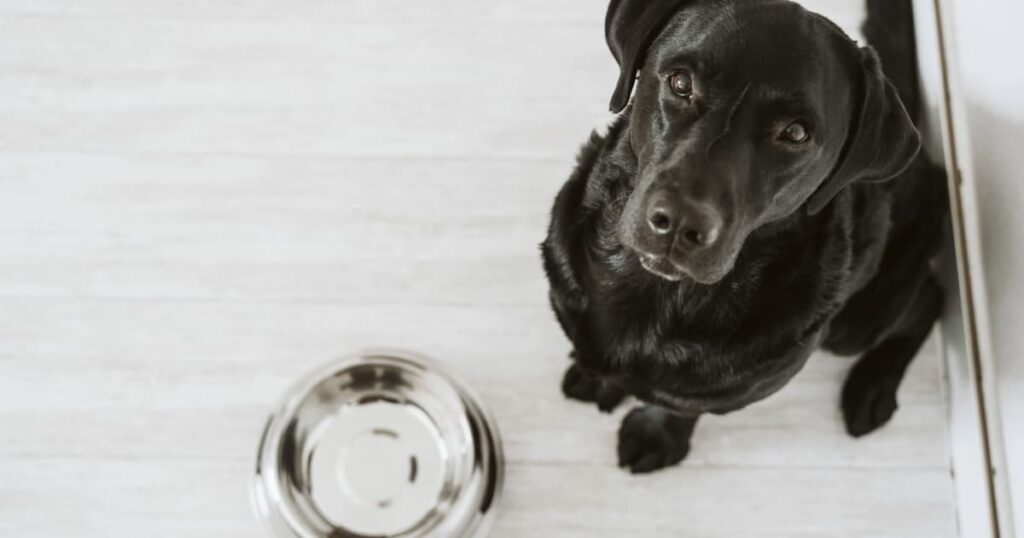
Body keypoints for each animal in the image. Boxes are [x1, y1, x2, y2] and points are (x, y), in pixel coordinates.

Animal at [540, 0, 946, 469]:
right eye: (681, 83)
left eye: (796, 132)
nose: (679, 223)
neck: (659, 295)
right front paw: (596, 378)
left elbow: (679, 406)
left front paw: (655, 435)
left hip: (856, 324)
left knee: (930, 297)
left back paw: (873, 386)